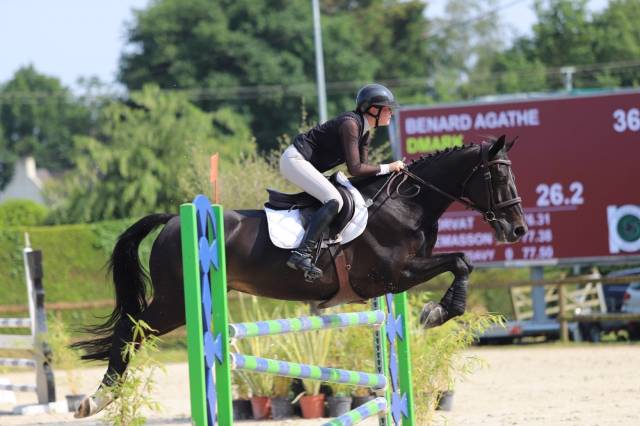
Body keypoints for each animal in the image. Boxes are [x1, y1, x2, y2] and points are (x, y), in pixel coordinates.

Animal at [73, 135, 526, 417]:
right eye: (497, 176)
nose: (519, 230)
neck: (406, 204)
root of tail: (173, 219)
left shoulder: (398, 278)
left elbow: (460, 262)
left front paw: (438, 310)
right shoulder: (392, 275)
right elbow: (461, 262)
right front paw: (438, 312)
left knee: (132, 333)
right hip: (174, 302)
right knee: (128, 332)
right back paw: (98, 400)